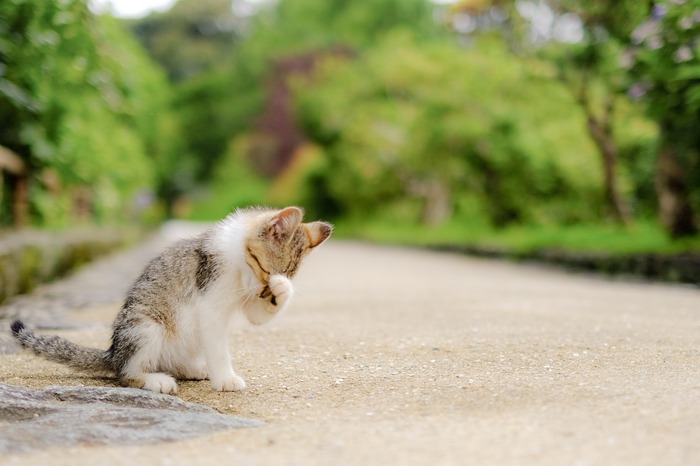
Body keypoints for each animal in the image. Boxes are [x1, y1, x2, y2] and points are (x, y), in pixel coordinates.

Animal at [8, 207, 330, 394]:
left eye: (269, 280)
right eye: (263, 269)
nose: (265, 291)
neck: (236, 262)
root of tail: (113, 353)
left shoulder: (247, 302)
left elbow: (258, 315)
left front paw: (283, 288)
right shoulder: (210, 307)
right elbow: (219, 349)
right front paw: (225, 378)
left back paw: (192, 369)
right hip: (146, 326)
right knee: (126, 374)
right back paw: (155, 380)